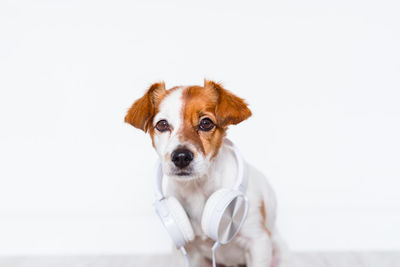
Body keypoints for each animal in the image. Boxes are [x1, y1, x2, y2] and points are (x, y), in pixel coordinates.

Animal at [124, 80, 288, 267]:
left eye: (206, 123)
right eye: (162, 125)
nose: (181, 157)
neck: (198, 189)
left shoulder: (258, 242)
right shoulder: (187, 251)